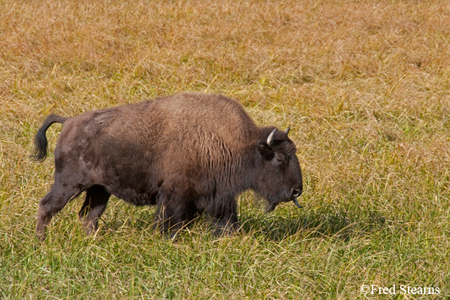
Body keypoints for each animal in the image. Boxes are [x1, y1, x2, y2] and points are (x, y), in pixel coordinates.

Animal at [32, 92, 302, 240]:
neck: (237, 143)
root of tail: (69, 122)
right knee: (47, 206)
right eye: (280, 158)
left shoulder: (220, 197)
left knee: (89, 216)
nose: (296, 190)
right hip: (69, 184)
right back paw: (40, 241)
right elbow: (170, 222)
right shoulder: (175, 196)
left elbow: (227, 221)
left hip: (100, 190)